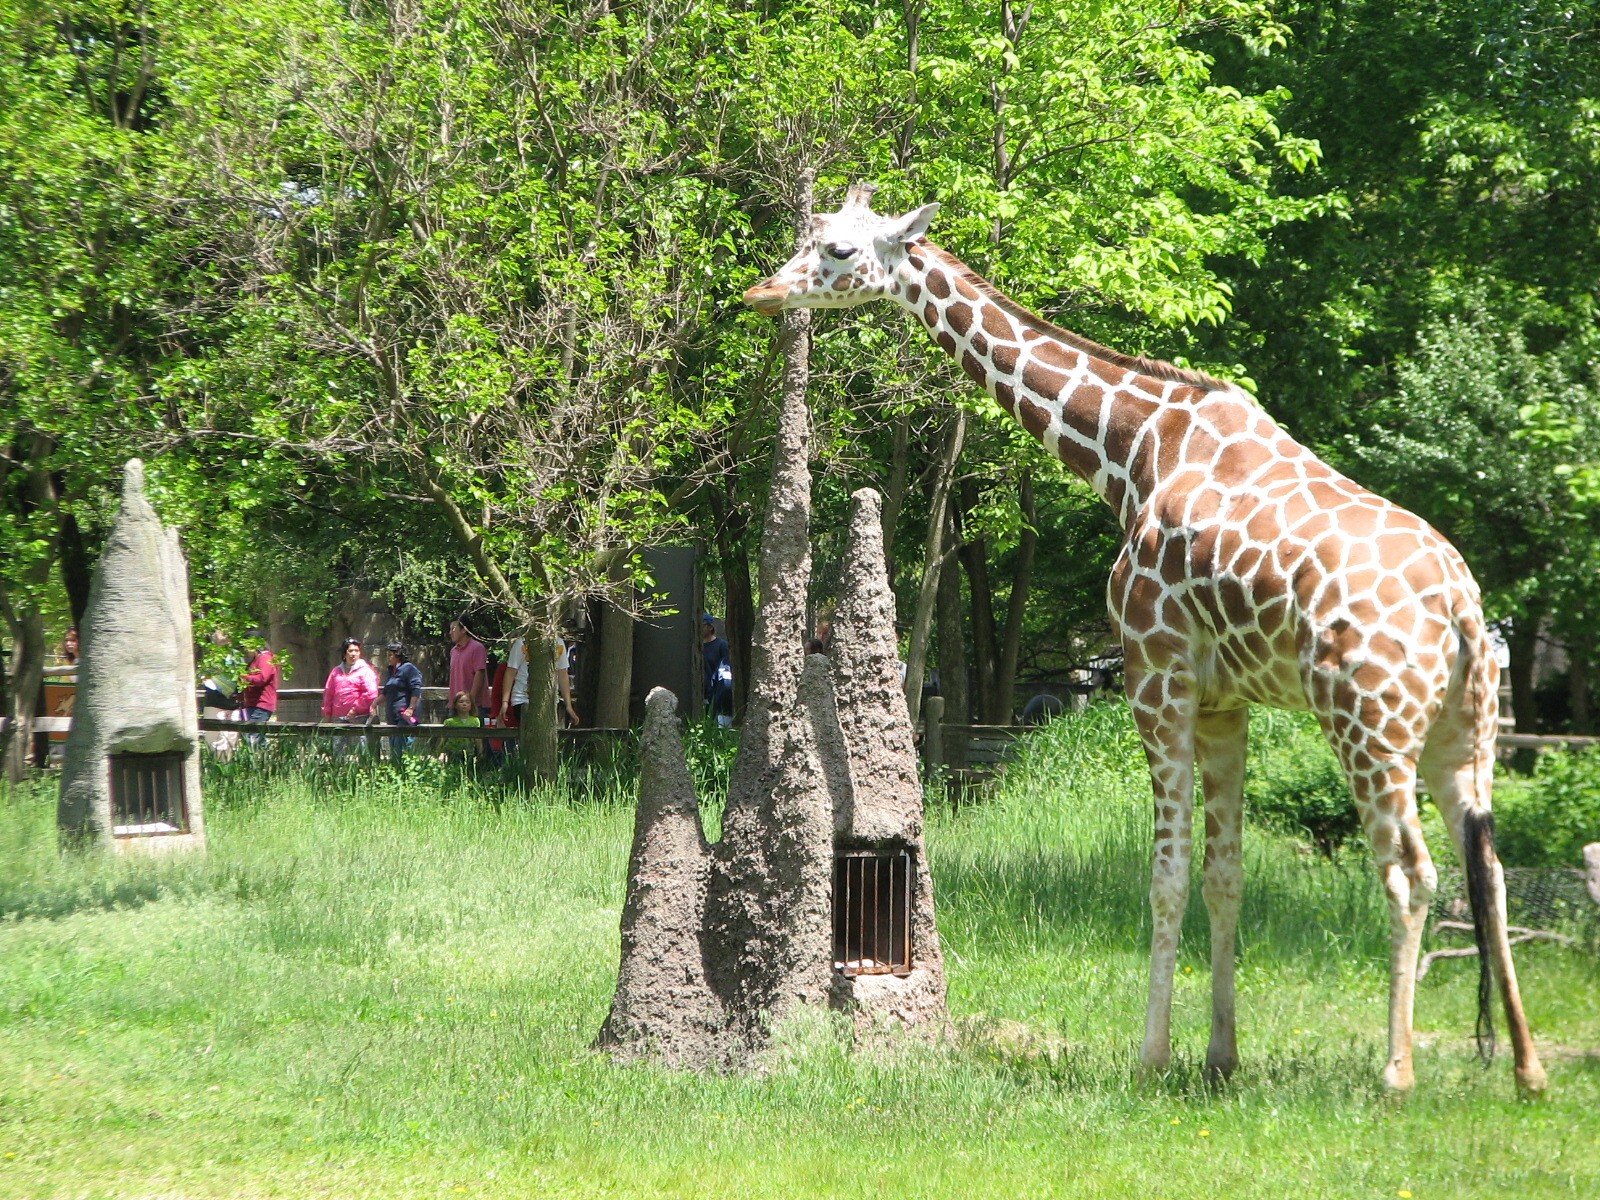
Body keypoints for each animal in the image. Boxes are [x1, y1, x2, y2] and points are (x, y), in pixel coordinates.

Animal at [742, 182, 1547, 1096]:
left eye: (838, 250)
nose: (761, 292)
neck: (1130, 451)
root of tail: (1463, 607)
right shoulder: (1228, 701)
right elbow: (1225, 874)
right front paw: (1221, 1058)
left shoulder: (1154, 673)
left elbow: (1166, 874)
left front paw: (1152, 1056)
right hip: (1462, 732)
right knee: (1489, 869)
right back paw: (1527, 1069)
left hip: (1369, 725)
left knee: (1412, 874)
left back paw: (1396, 1072)